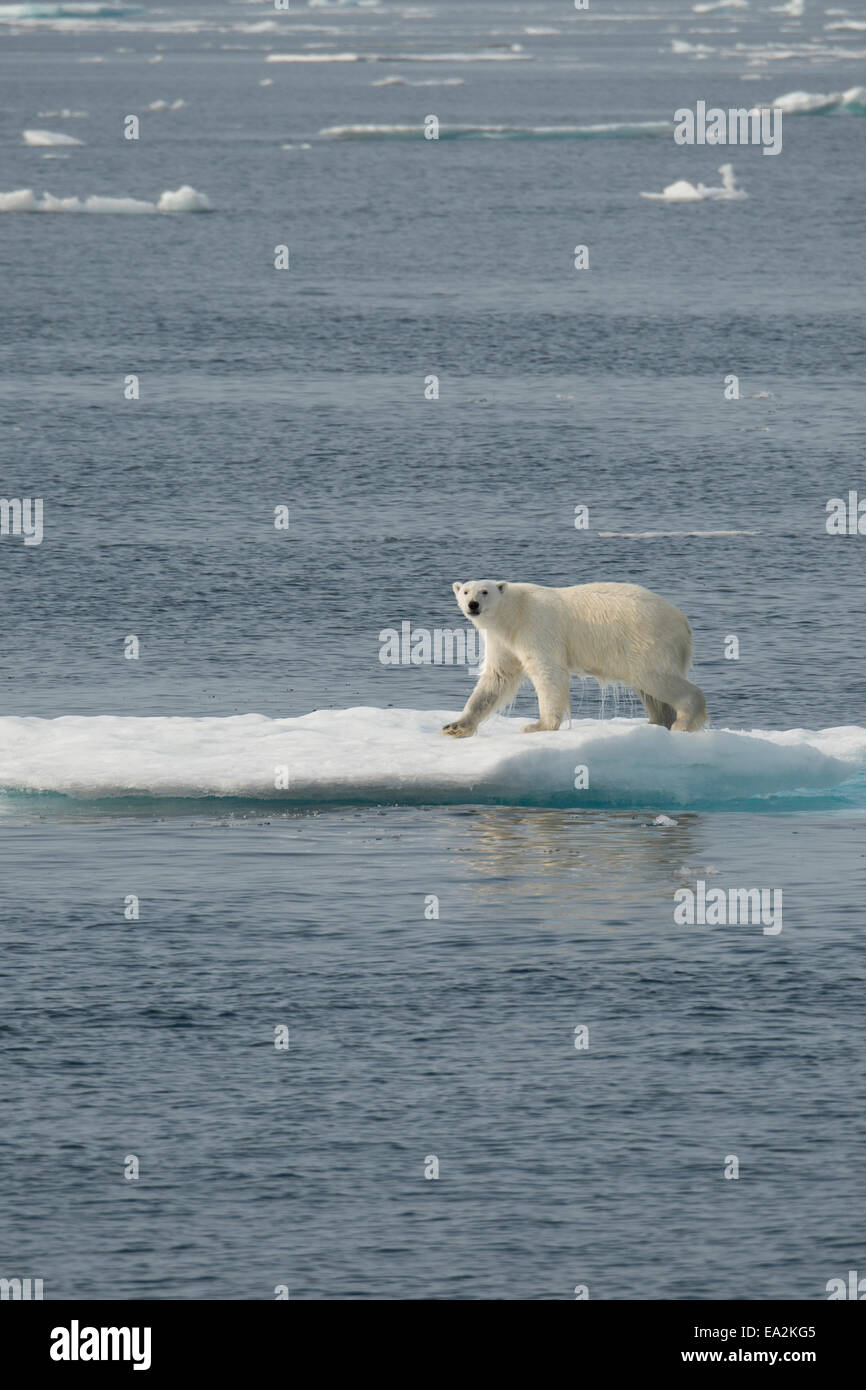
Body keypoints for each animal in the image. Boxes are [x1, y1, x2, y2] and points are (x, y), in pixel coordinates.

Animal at [444, 578, 708, 739]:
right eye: (465, 591)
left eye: (484, 591)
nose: (473, 604)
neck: (513, 613)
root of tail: (683, 622)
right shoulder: (502, 640)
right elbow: (496, 679)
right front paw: (455, 726)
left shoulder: (536, 627)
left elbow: (548, 672)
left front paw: (538, 726)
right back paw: (657, 722)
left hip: (647, 641)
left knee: (655, 678)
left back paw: (683, 722)